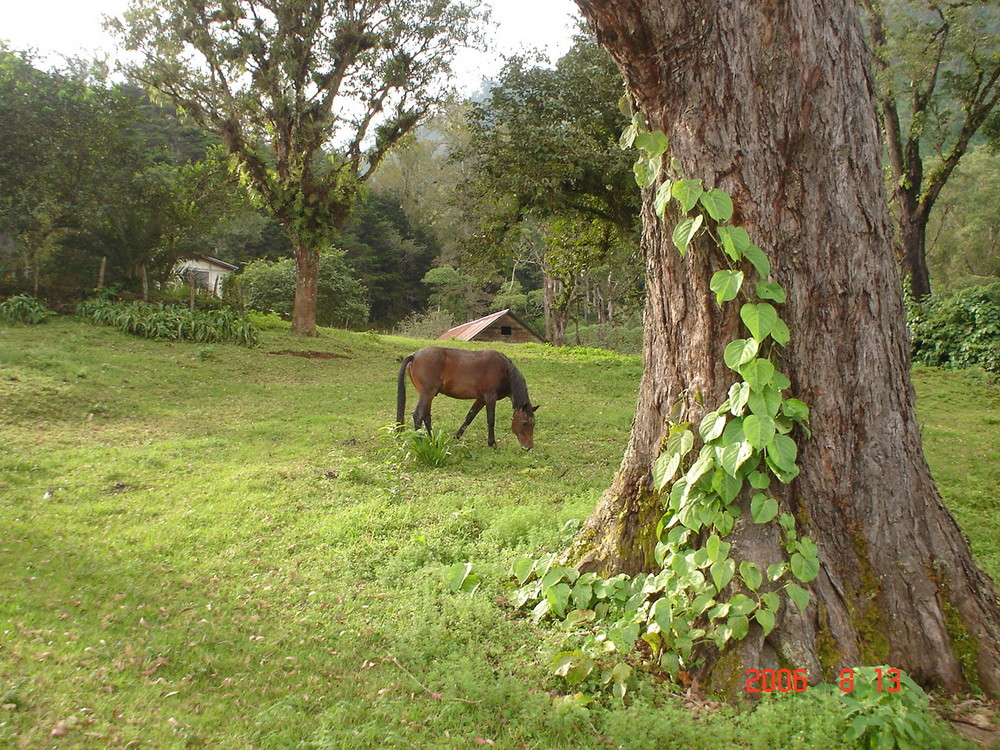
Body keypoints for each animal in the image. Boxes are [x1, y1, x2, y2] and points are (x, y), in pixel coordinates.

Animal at [396, 350, 540, 450]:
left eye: (533, 424)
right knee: (418, 415)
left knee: (426, 416)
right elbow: (491, 420)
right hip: (427, 394)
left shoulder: (481, 399)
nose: (528, 447)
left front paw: (456, 437)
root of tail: (414, 355)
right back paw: (421, 442)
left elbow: (469, 417)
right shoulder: (490, 397)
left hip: (429, 395)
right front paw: (492, 443)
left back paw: (433, 440)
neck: (504, 371)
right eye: (525, 423)